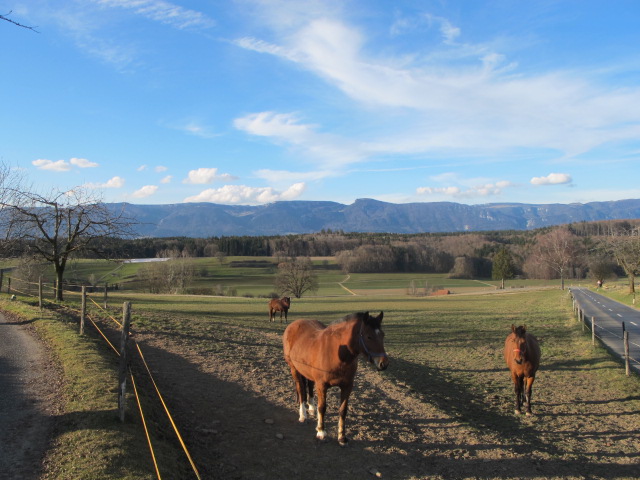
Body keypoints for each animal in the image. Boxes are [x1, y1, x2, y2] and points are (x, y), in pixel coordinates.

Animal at [282, 312, 388, 446]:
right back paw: (303, 416)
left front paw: (342, 437)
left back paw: (311, 408)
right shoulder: (322, 385)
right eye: (369, 337)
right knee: (301, 390)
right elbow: (322, 407)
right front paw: (321, 432)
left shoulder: (347, 386)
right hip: (294, 369)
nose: (384, 364)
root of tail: (293, 325)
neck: (338, 353)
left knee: (309, 386)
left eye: (382, 335)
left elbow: (343, 410)